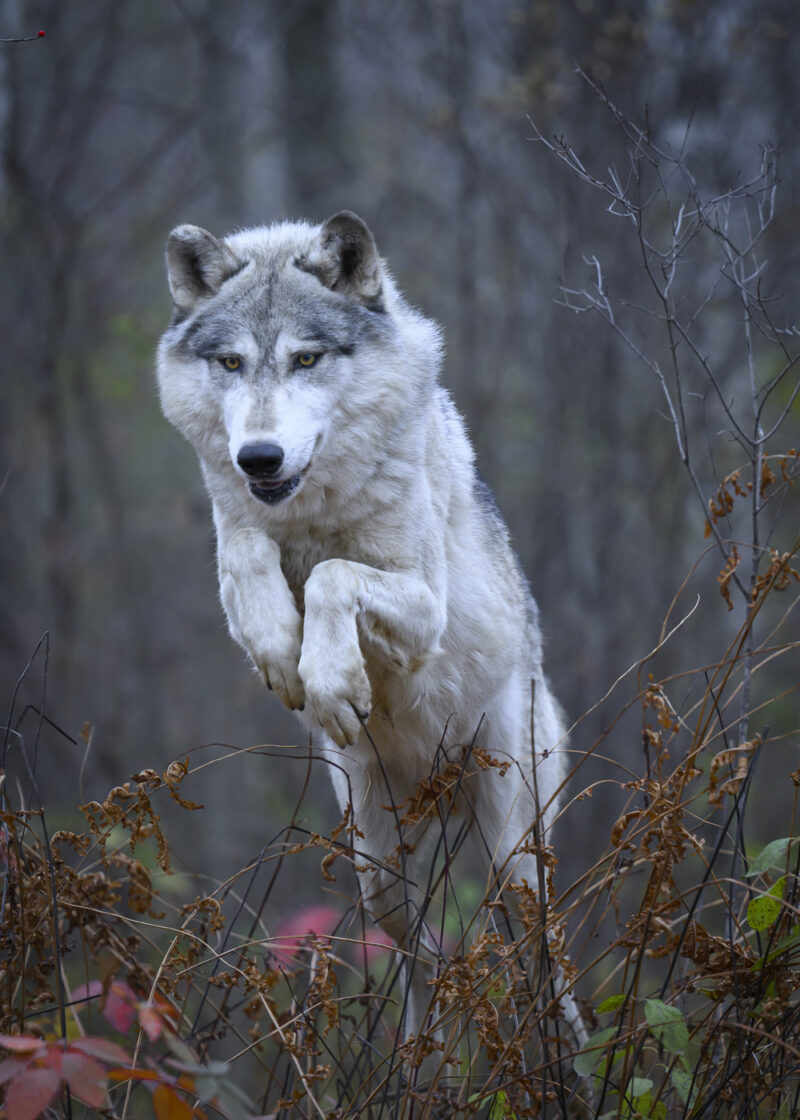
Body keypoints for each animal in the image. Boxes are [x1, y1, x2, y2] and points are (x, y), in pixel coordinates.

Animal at [156, 210, 585, 1055]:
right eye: (231, 362)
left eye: (306, 358)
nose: (259, 457)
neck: (314, 514)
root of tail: (436, 785)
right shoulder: (239, 540)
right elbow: (254, 556)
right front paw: (282, 657)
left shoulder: (422, 609)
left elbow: (331, 578)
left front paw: (331, 684)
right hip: (376, 864)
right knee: (424, 956)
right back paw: (423, 1062)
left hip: (515, 858)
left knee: (540, 966)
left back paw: (569, 1062)